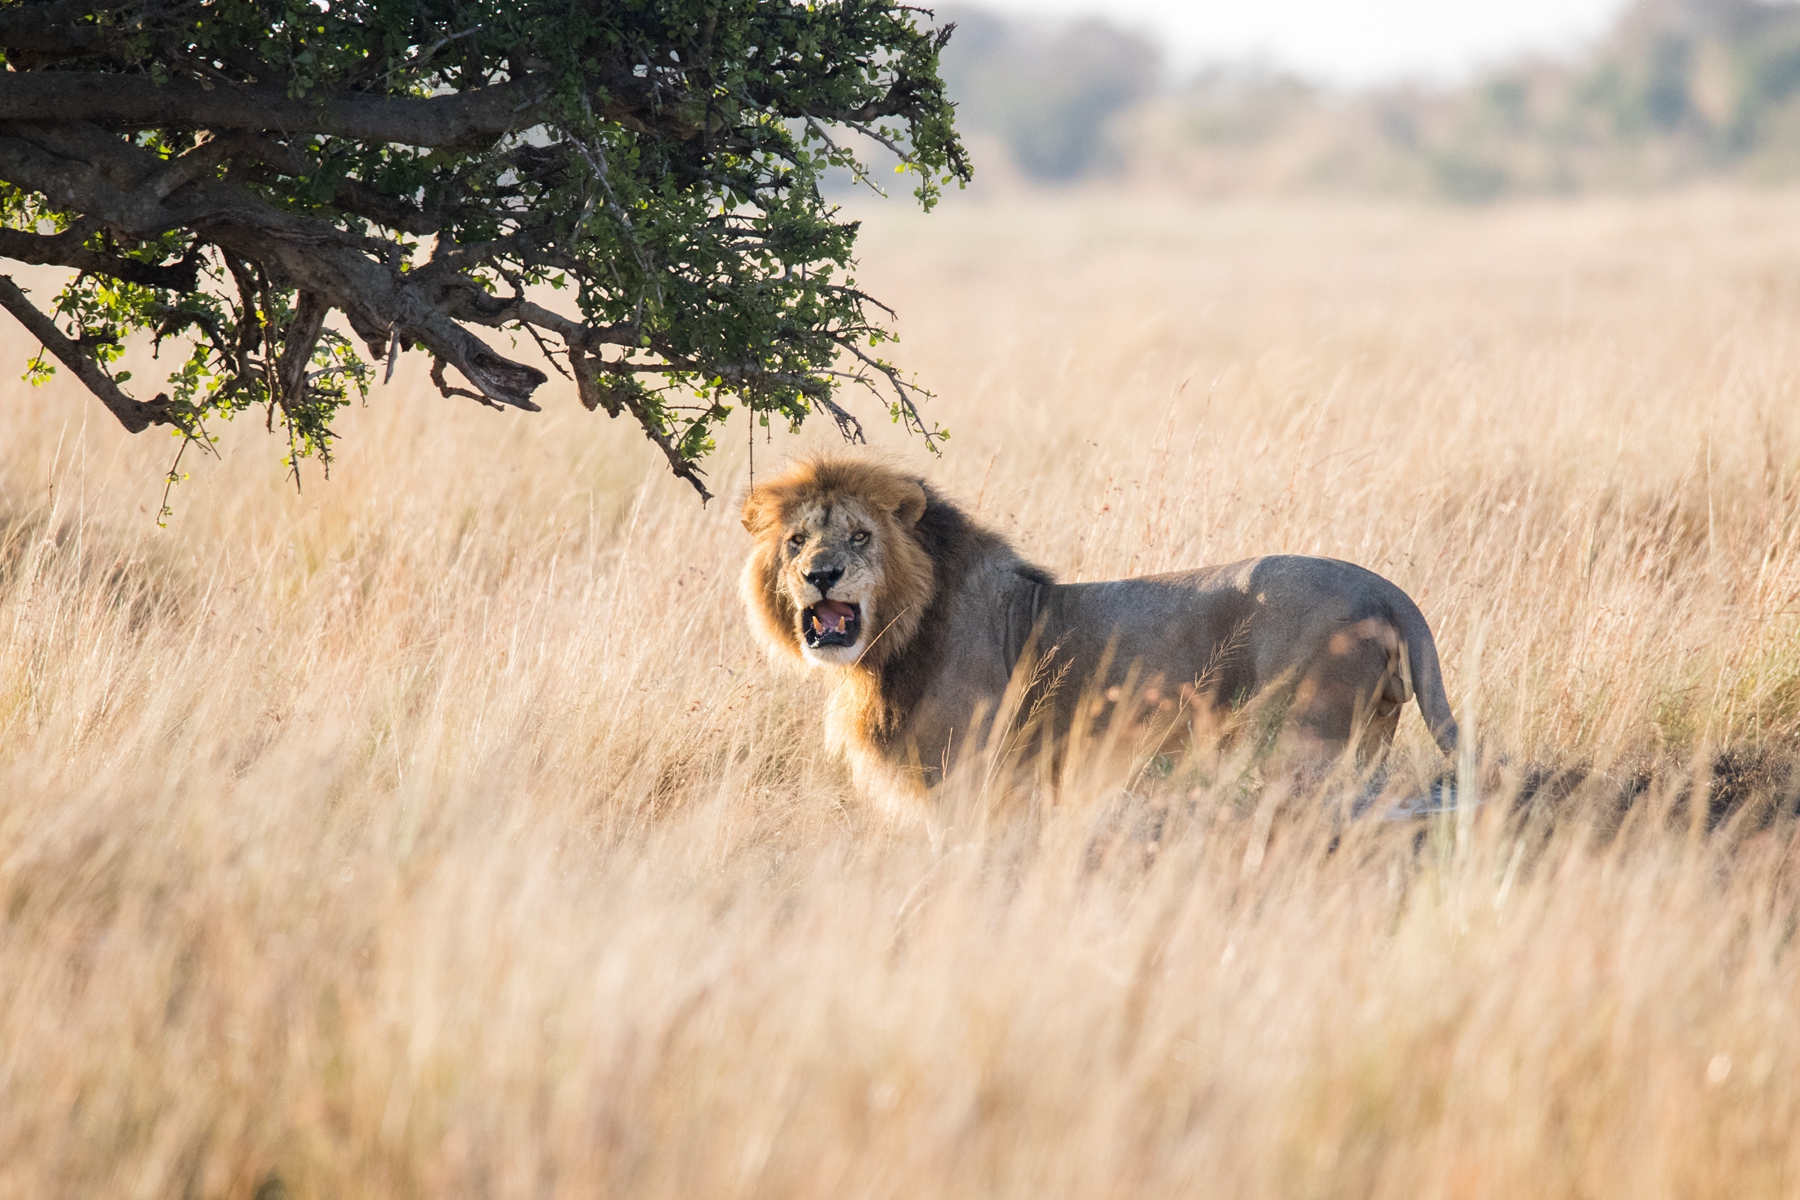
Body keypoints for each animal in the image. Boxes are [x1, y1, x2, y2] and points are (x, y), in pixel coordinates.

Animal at [738, 455, 1454, 813]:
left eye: (860, 536)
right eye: (797, 540)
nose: (821, 574)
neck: (895, 641)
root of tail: (1387, 591)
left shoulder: (974, 784)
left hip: (1303, 746)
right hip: (1370, 740)